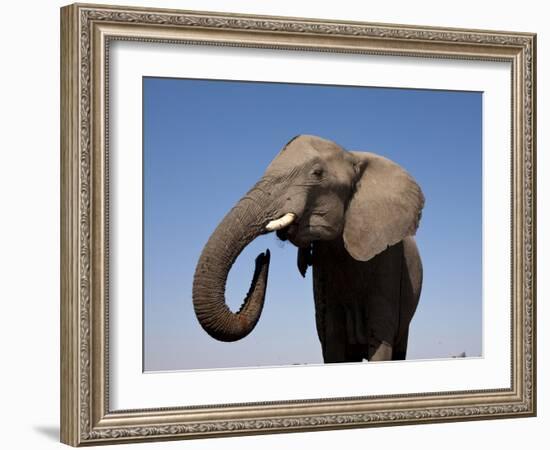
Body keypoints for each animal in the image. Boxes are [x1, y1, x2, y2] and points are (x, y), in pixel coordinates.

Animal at [192, 134, 424, 362]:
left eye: (317, 173)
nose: (263, 257)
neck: (353, 156)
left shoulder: (389, 264)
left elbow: (380, 341)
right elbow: (333, 340)